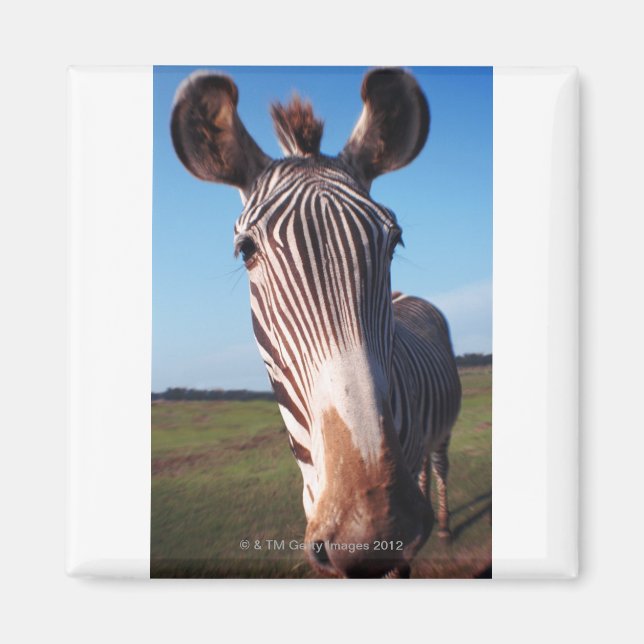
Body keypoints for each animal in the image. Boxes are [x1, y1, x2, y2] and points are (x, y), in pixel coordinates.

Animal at [171, 68, 462, 578]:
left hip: (444, 426)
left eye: (395, 242)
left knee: (440, 462)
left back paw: (444, 526)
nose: (373, 528)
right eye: (245, 251)